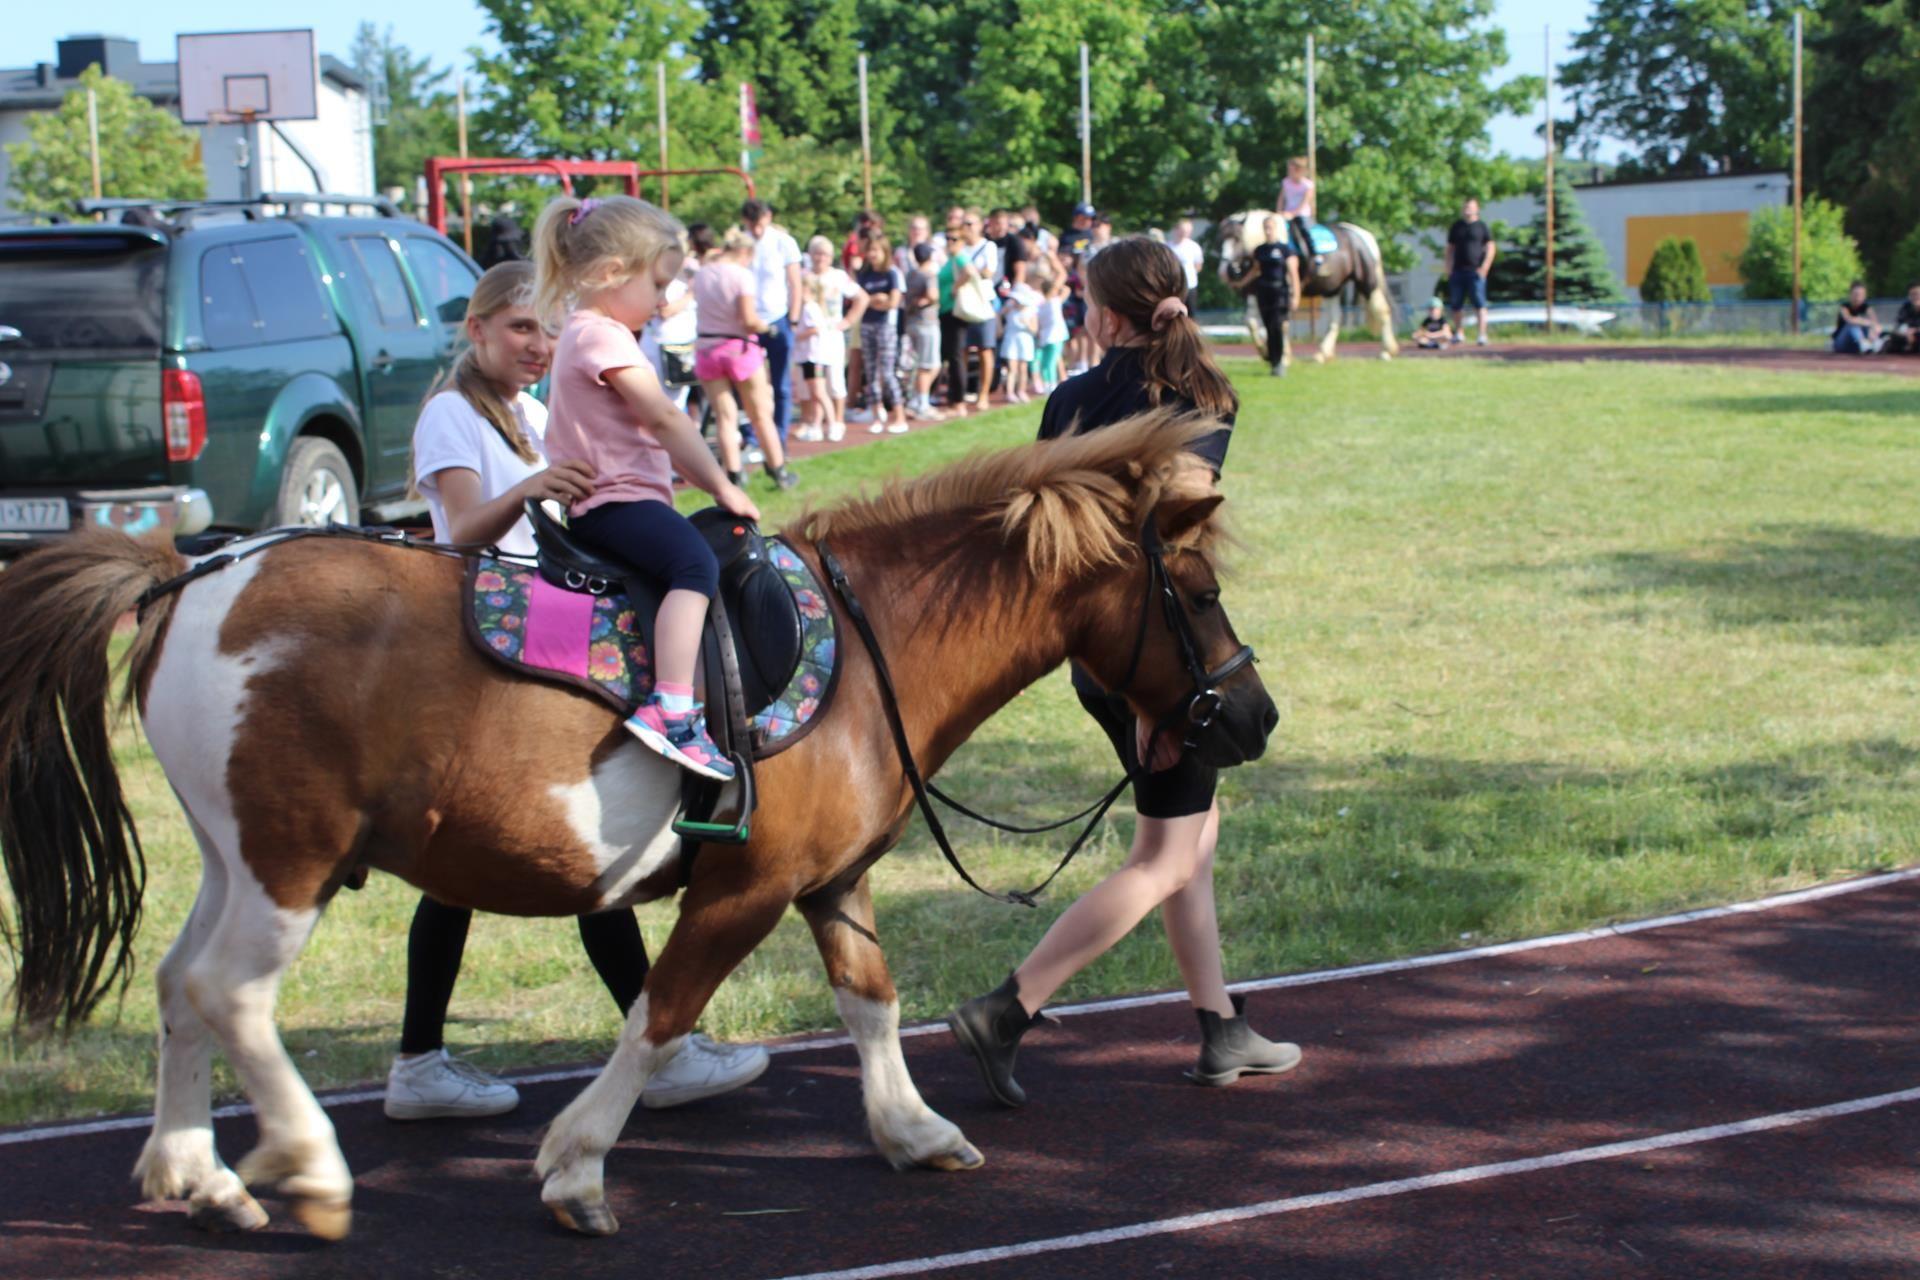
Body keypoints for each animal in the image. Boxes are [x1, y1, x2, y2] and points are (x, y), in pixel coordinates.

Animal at [0, 412, 1274, 1243]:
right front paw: (575, 1165)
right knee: (230, 993)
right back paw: (307, 1166)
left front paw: (912, 1126)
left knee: (178, 982)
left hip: (234, 857)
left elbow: (870, 997)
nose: (1255, 714)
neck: (870, 643)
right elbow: (661, 1012)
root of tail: (182, 574)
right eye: (1197, 589)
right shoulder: (743, 888)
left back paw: (193, 1168)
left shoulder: (833, 880)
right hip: (290, 860)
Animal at [1221, 211, 1405, 364]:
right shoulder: (1255, 291)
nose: (1226, 271)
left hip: (1367, 281)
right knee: (1335, 319)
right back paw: (1322, 353)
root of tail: (1364, 235)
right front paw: (1265, 352)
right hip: (1332, 288)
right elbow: (1251, 322)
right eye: (1221, 240)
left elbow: (1281, 323)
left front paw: (1284, 356)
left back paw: (1387, 351)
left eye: (1237, 238)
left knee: (1381, 310)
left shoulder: (1287, 292)